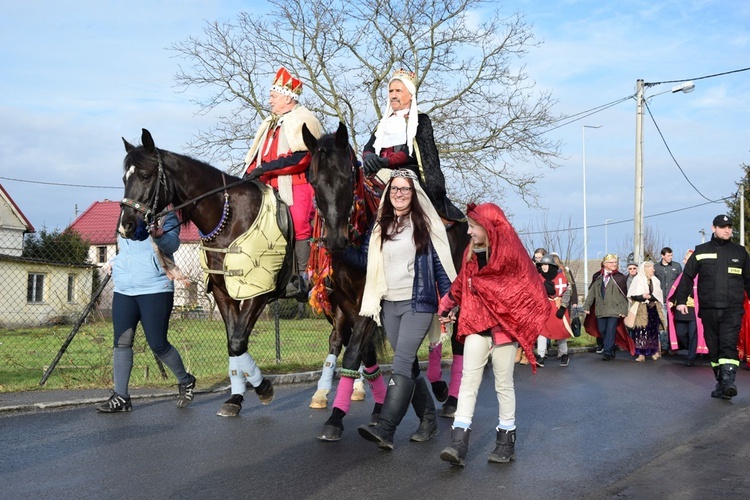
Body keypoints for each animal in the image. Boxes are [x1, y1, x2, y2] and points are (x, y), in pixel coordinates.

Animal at [119, 127, 296, 416]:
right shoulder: (224, 293)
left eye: (145, 176)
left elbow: (237, 342)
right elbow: (233, 344)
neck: (230, 217)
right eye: (125, 177)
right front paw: (235, 398)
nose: (126, 226)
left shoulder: (257, 290)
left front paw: (263, 388)